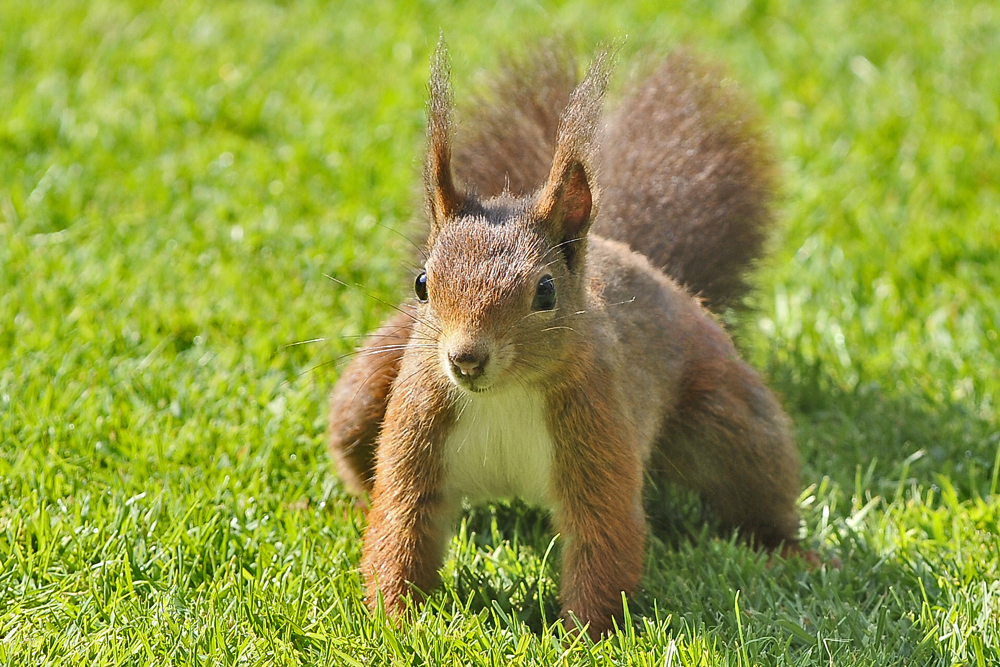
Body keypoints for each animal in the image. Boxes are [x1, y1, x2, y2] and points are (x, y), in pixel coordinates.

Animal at [328, 37, 804, 640]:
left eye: (546, 291)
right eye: (421, 284)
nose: (466, 359)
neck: (504, 395)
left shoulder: (598, 427)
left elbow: (604, 534)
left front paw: (581, 640)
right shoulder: (419, 423)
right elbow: (402, 523)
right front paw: (395, 626)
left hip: (731, 418)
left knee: (756, 482)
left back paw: (793, 551)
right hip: (366, 393)